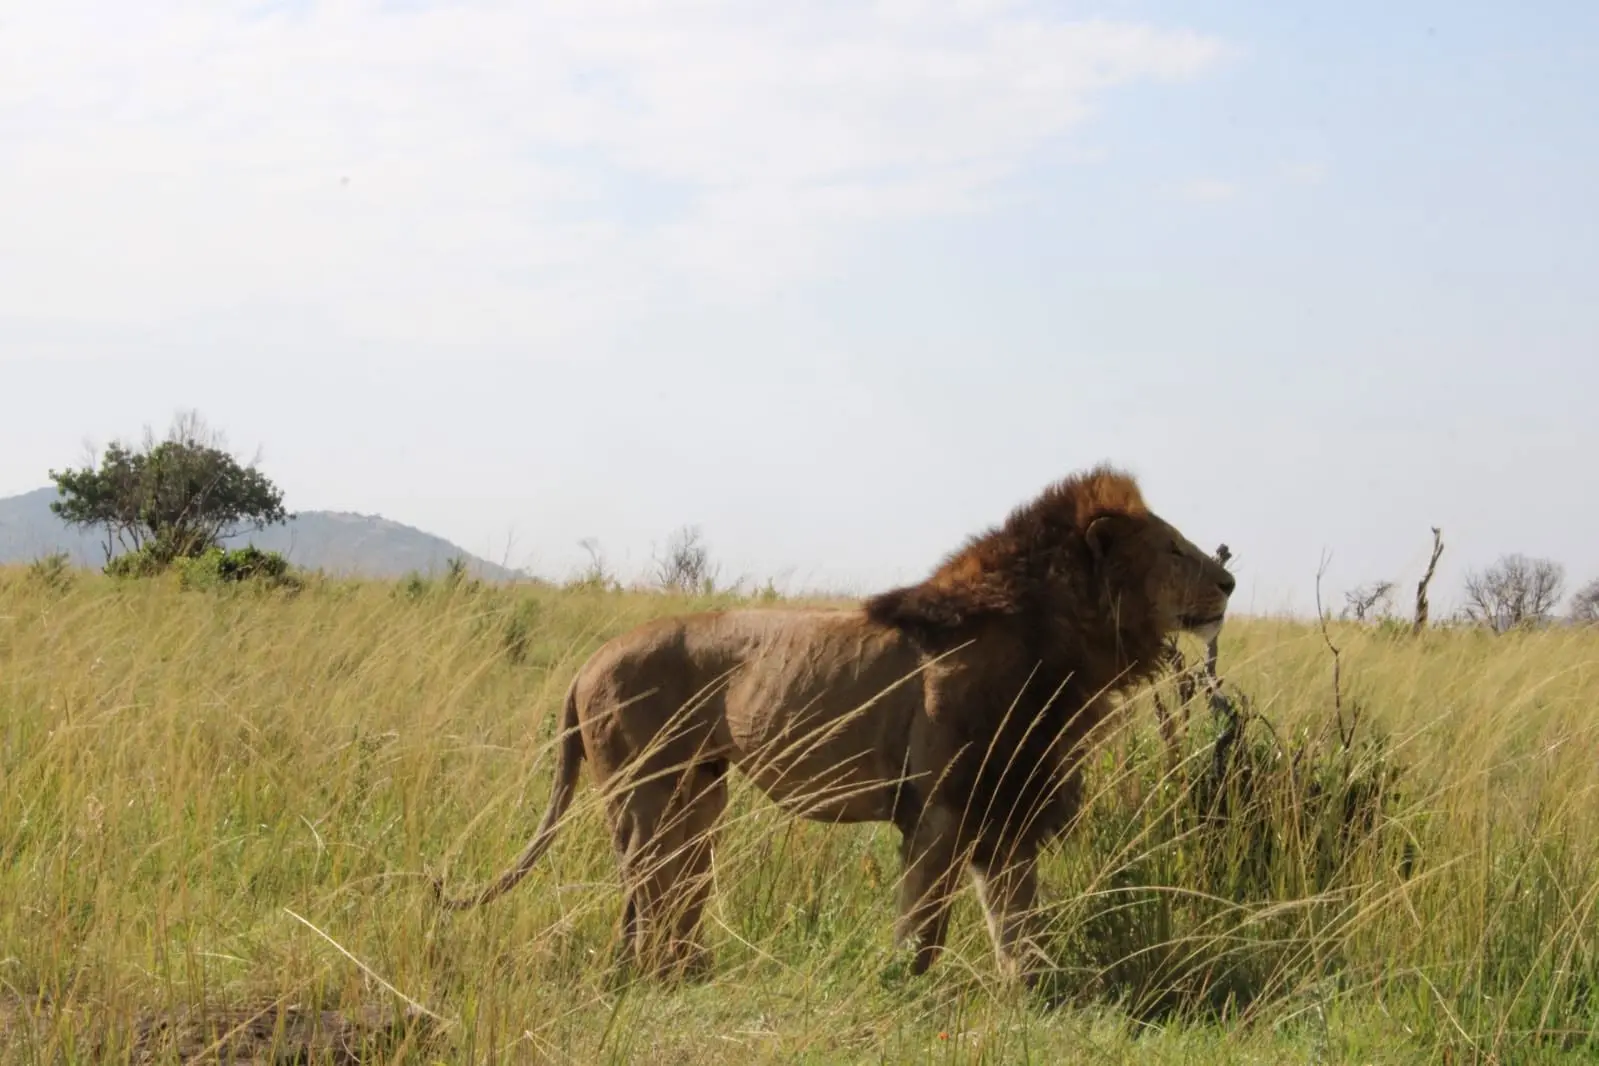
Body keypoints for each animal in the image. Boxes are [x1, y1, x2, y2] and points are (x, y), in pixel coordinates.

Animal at [432, 464, 1235, 984]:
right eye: (1172, 548)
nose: (1229, 580)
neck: (1065, 645)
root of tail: (584, 663)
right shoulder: (940, 804)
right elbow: (926, 918)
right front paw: (910, 988)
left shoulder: (1007, 801)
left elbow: (1013, 912)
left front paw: (1026, 988)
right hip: (643, 792)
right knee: (644, 886)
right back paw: (649, 974)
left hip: (700, 793)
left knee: (676, 887)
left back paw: (689, 971)